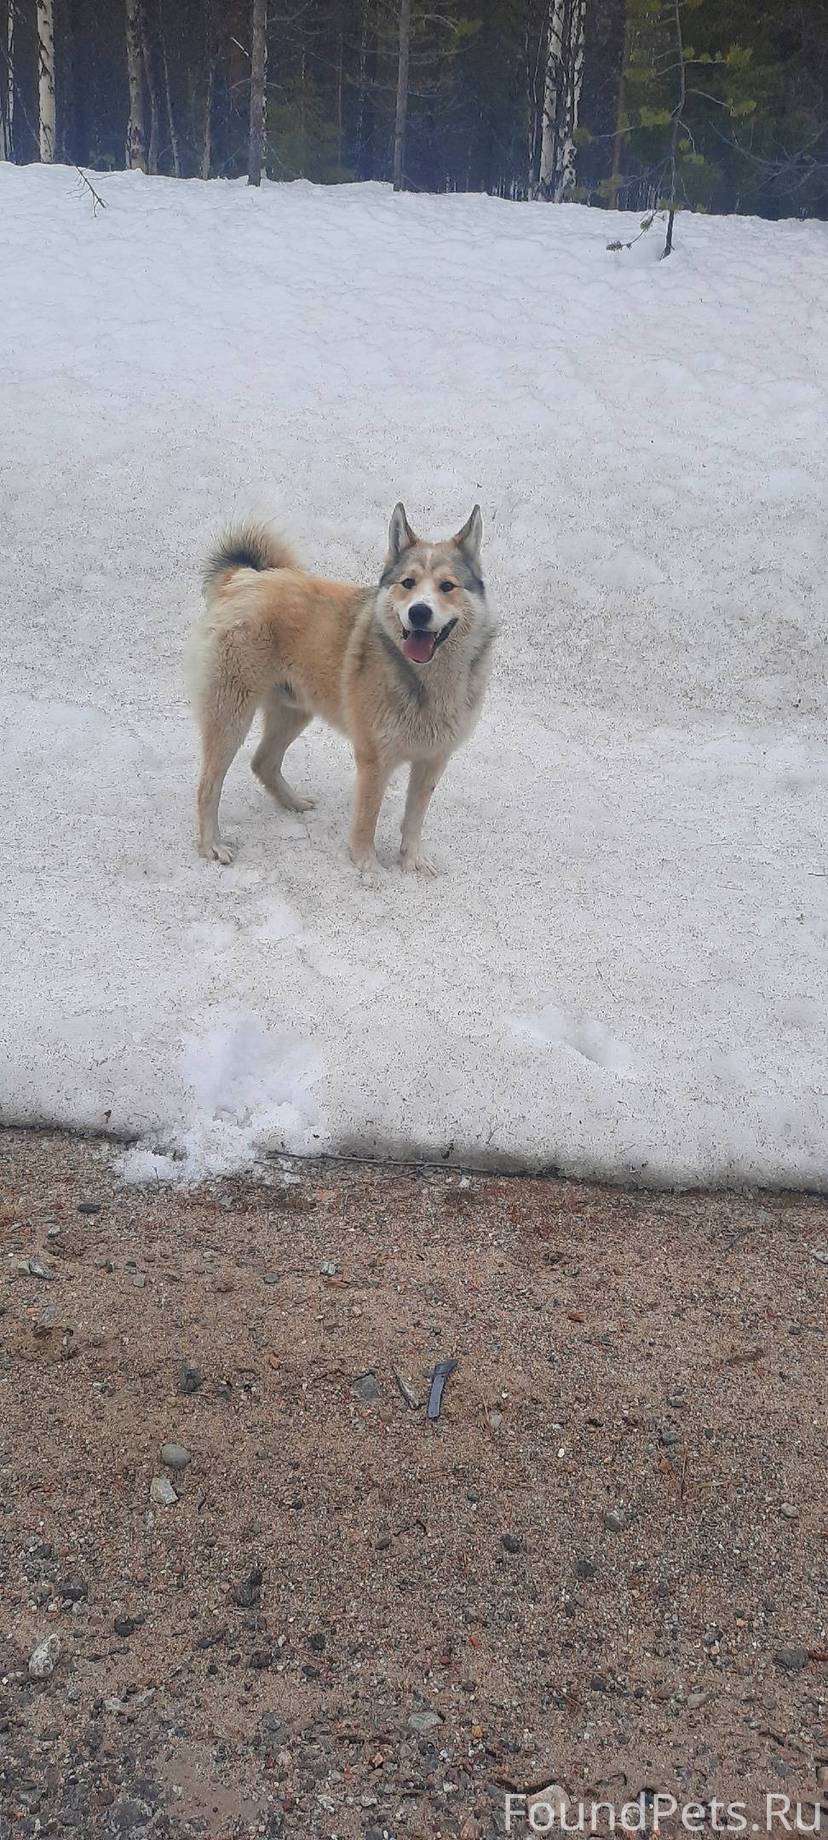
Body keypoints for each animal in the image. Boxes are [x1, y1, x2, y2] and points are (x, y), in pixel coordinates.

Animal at [189, 504, 496, 875]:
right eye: (407, 583)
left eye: (447, 586)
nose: (419, 612)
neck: (424, 680)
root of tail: (244, 578)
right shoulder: (374, 760)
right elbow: (367, 818)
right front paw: (367, 867)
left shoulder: (432, 762)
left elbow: (413, 819)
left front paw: (411, 863)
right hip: (230, 718)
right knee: (208, 786)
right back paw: (211, 845)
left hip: (294, 711)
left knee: (263, 762)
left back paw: (293, 803)